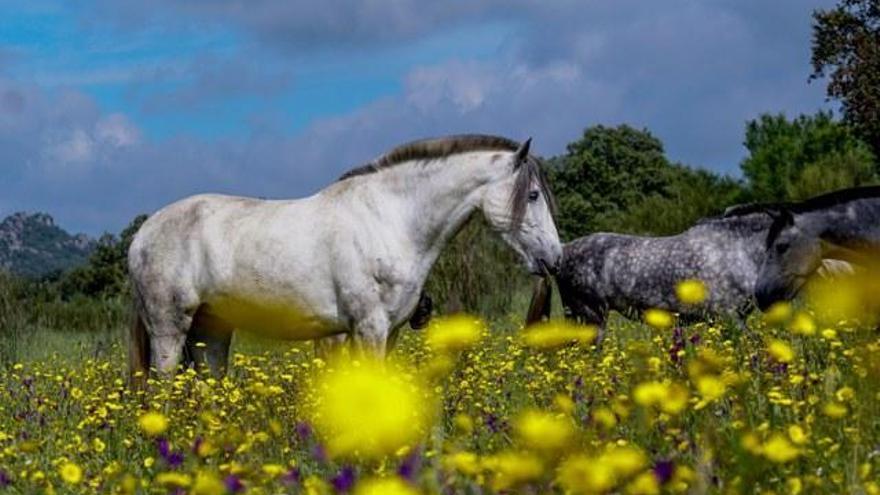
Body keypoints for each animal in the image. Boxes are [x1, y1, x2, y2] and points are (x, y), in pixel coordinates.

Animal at [127, 134, 560, 378]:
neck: (391, 218)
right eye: (533, 195)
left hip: (210, 331)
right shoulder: (369, 329)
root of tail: (140, 238)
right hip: (170, 331)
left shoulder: (390, 332)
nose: (553, 260)